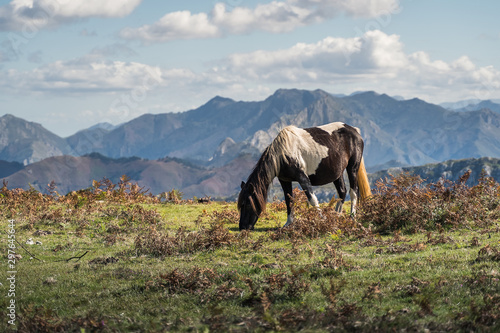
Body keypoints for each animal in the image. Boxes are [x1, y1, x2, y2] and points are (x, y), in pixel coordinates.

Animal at [237, 120, 372, 230]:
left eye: (247, 204)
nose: (243, 227)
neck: (282, 154)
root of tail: (354, 130)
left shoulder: (302, 178)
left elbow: (312, 199)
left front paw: (323, 220)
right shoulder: (284, 180)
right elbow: (289, 200)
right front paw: (288, 224)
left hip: (352, 168)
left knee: (353, 192)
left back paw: (352, 218)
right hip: (337, 173)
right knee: (342, 192)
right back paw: (336, 216)